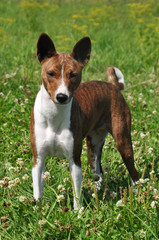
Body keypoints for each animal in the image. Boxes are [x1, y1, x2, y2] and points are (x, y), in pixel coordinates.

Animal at [30, 32, 139, 209]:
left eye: (73, 74)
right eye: (51, 73)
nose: (62, 97)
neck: (54, 116)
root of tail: (112, 86)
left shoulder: (74, 159)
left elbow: (76, 194)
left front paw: (78, 212)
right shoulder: (38, 160)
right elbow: (38, 191)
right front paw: (37, 210)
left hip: (123, 142)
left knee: (133, 172)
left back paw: (137, 192)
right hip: (93, 145)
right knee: (98, 173)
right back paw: (98, 192)